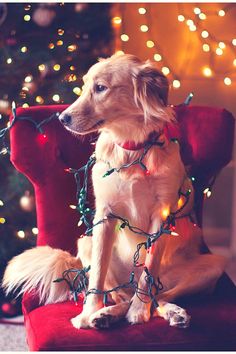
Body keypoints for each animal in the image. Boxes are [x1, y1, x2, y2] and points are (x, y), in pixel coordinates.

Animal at [2, 54, 226, 330]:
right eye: (85, 85)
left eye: (100, 88)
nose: (63, 118)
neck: (132, 149)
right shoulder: (104, 216)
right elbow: (97, 274)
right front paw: (88, 313)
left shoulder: (161, 216)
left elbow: (148, 274)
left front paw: (139, 310)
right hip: (85, 242)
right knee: (121, 294)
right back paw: (106, 314)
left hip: (214, 265)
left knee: (159, 295)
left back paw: (167, 311)